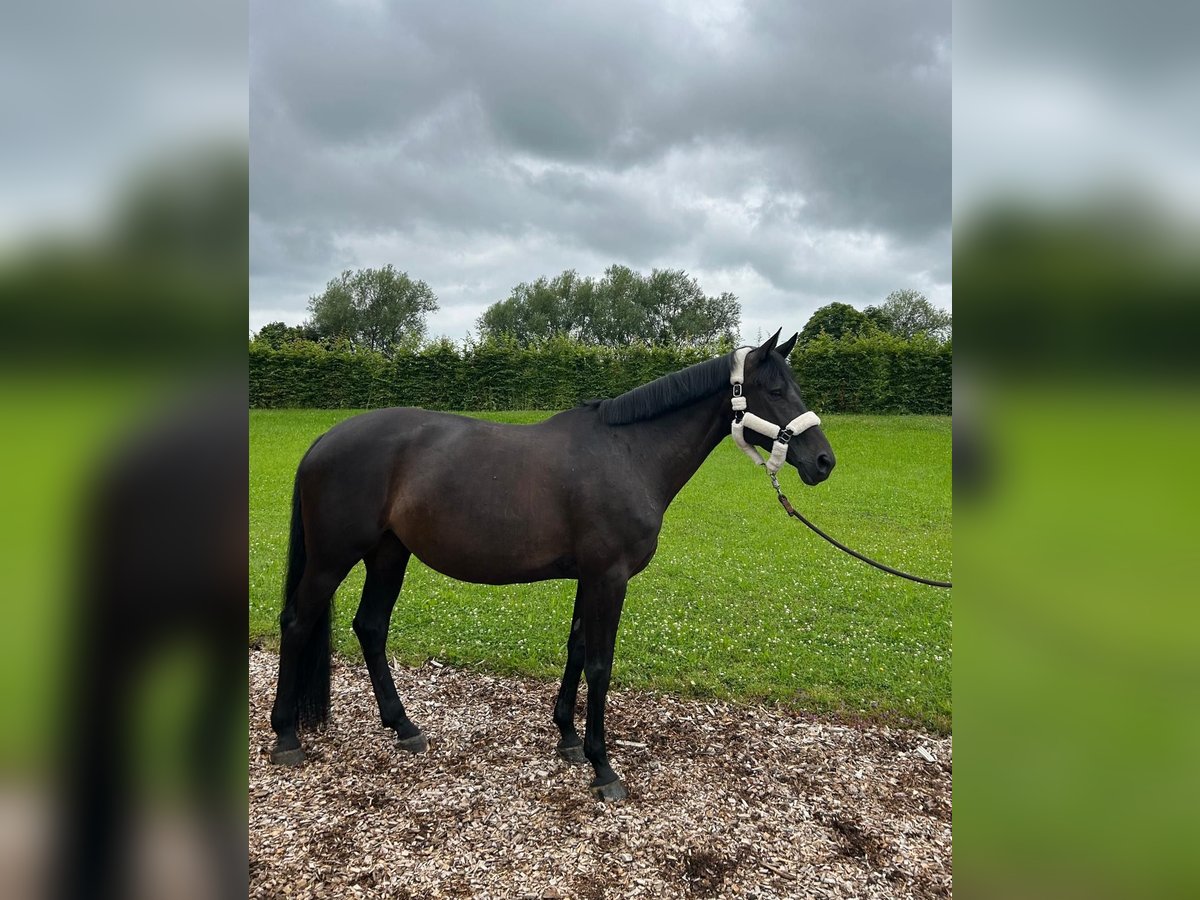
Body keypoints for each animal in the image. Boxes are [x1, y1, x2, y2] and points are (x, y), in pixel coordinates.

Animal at [270, 331, 835, 801]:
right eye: (776, 391)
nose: (824, 462)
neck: (628, 453)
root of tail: (324, 441)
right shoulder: (609, 577)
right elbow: (601, 665)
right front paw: (603, 767)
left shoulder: (591, 576)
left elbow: (578, 649)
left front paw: (567, 736)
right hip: (332, 559)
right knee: (297, 623)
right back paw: (286, 737)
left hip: (389, 554)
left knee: (370, 626)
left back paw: (403, 727)